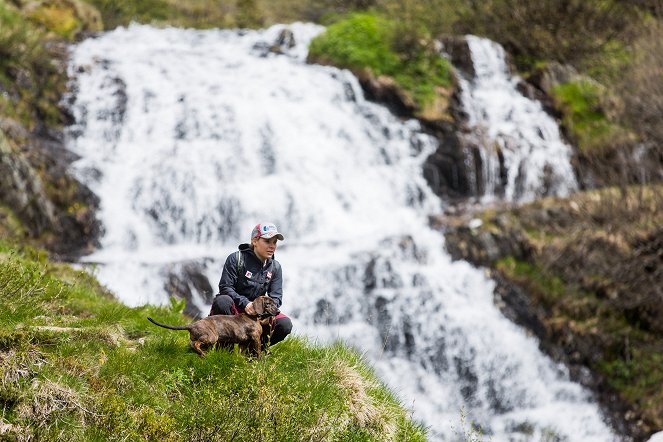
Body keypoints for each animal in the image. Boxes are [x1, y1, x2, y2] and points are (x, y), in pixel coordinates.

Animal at [147, 296, 278, 358]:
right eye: (268, 303)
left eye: (274, 303)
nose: (278, 311)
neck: (254, 316)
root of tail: (191, 325)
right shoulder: (255, 338)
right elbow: (258, 353)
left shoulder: (243, 343)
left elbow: (242, 354)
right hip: (211, 337)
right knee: (195, 344)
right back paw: (204, 355)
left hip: (207, 342)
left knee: (194, 346)